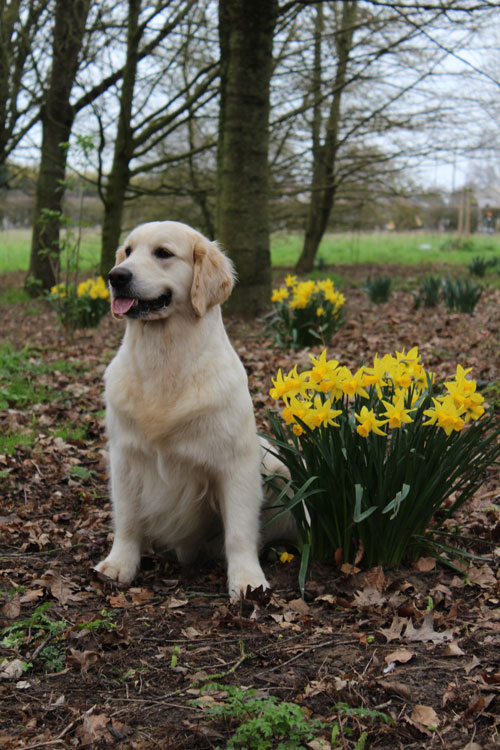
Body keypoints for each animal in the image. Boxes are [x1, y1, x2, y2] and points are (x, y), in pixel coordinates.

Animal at [93, 222, 286, 600]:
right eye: (127, 251)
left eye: (163, 253)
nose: (116, 276)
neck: (164, 359)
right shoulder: (125, 457)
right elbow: (127, 518)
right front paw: (120, 563)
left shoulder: (236, 463)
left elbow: (240, 531)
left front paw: (247, 580)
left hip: (276, 462)